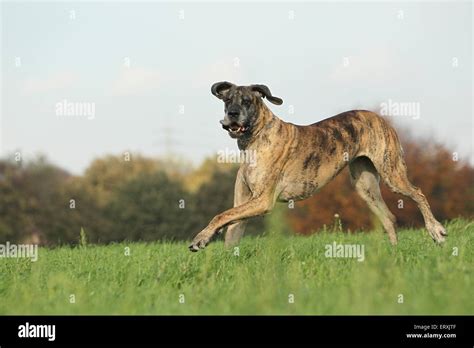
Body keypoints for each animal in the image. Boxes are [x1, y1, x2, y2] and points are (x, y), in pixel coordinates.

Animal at [187, 83, 446, 251]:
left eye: (248, 101)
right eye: (227, 100)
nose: (232, 114)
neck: (255, 137)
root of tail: (380, 117)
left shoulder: (262, 201)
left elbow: (221, 215)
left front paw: (200, 238)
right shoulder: (243, 200)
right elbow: (231, 226)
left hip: (392, 173)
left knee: (418, 193)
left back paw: (436, 231)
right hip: (366, 186)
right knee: (390, 217)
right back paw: (393, 255)